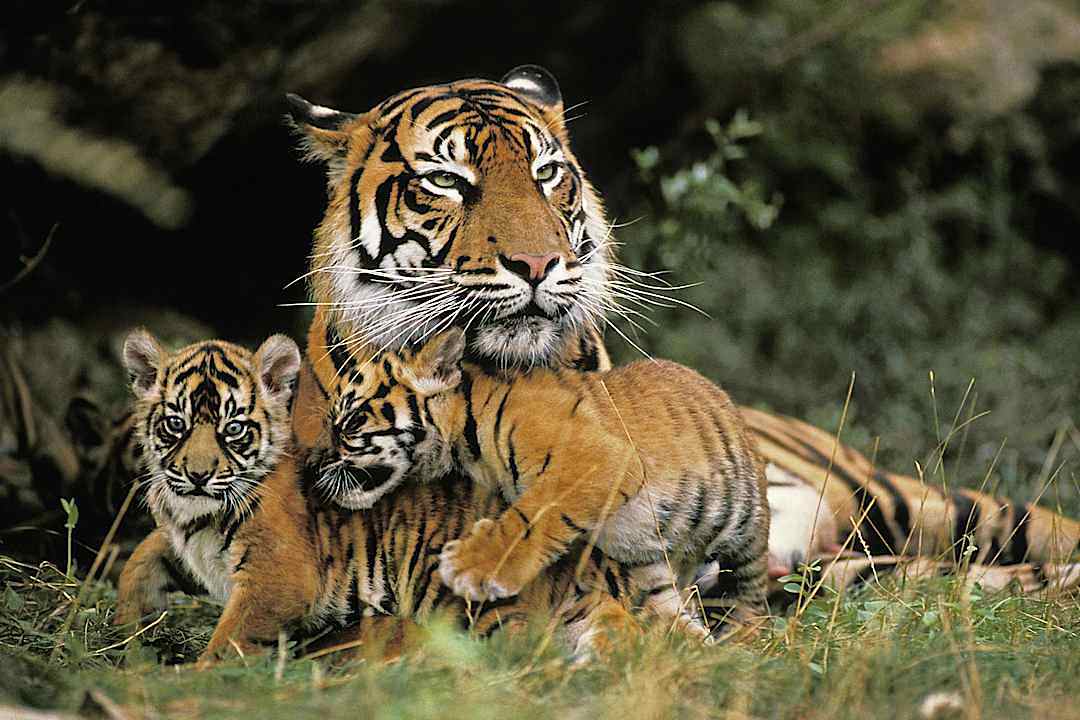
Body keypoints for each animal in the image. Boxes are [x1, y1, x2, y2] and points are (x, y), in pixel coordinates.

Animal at [114, 329, 301, 624]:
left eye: (234, 428)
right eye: (176, 423)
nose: (198, 476)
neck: (202, 519)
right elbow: (140, 558)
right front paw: (127, 623)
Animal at [309, 328, 769, 640]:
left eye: (350, 422)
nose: (315, 471)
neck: (463, 440)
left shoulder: (595, 459)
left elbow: (533, 516)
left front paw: (471, 567)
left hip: (742, 533)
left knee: (750, 593)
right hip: (650, 565)